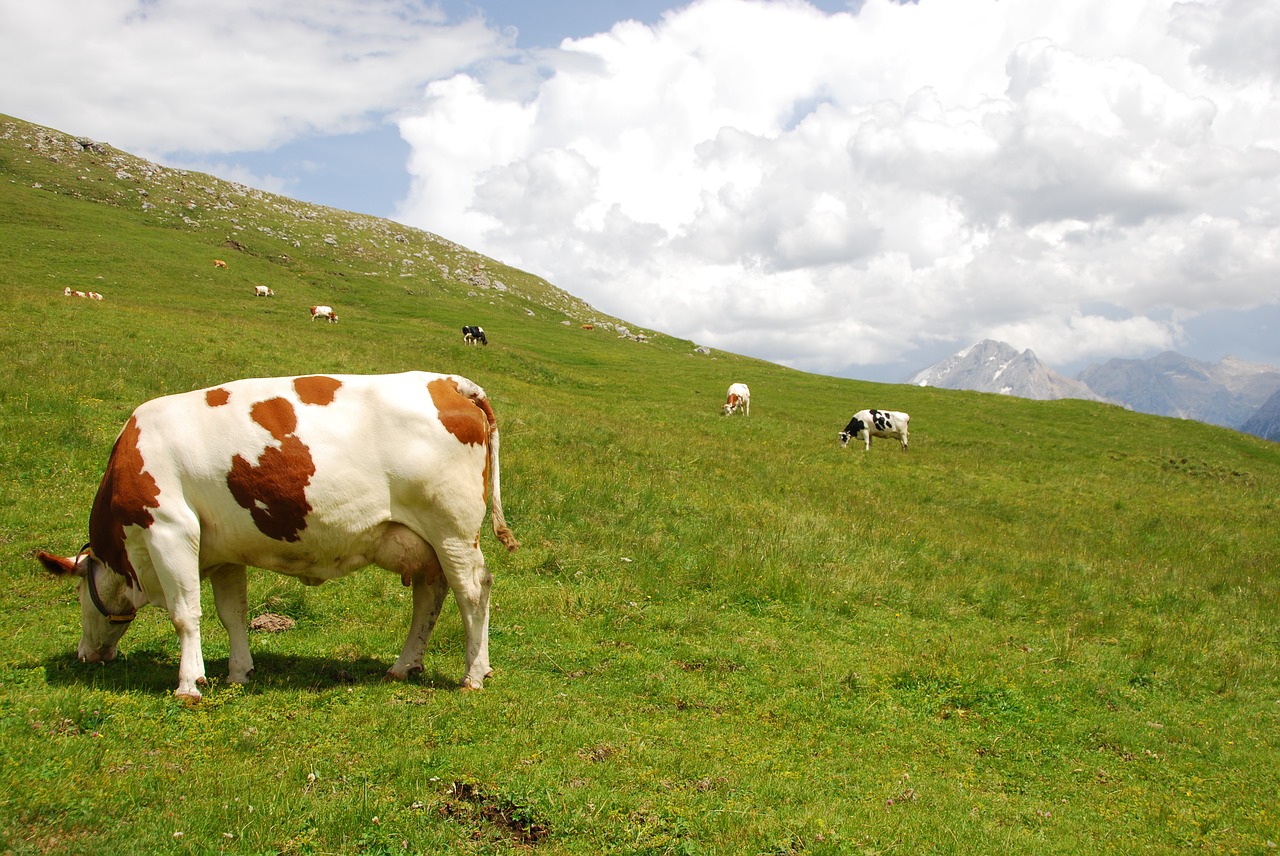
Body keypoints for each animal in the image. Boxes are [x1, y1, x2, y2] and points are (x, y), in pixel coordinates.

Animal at [40, 373, 519, 701]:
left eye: (79, 595)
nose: (86, 654)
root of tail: (448, 382)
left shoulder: (170, 530)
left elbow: (185, 614)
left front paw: (189, 684)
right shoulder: (223, 551)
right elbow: (231, 614)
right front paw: (238, 673)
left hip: (452, 530)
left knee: (473, 592)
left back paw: (474, 674)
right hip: (423, 542)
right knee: (430, 596)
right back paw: (403, 666)